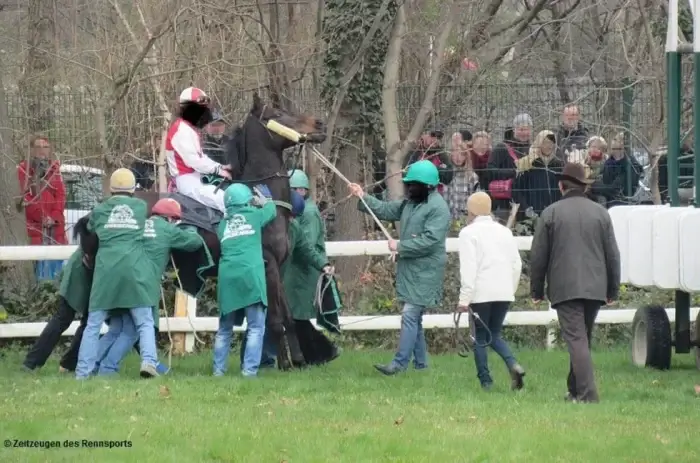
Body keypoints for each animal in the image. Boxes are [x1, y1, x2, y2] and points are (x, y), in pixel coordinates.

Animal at [134, 93, 328, 370]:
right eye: (277, 114)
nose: (319, 124)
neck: (262, 198)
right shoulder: (267, 264)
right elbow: (274, 320)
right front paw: (282, 364)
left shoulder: (277, 267)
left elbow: (287, 316)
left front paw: (297, 360)